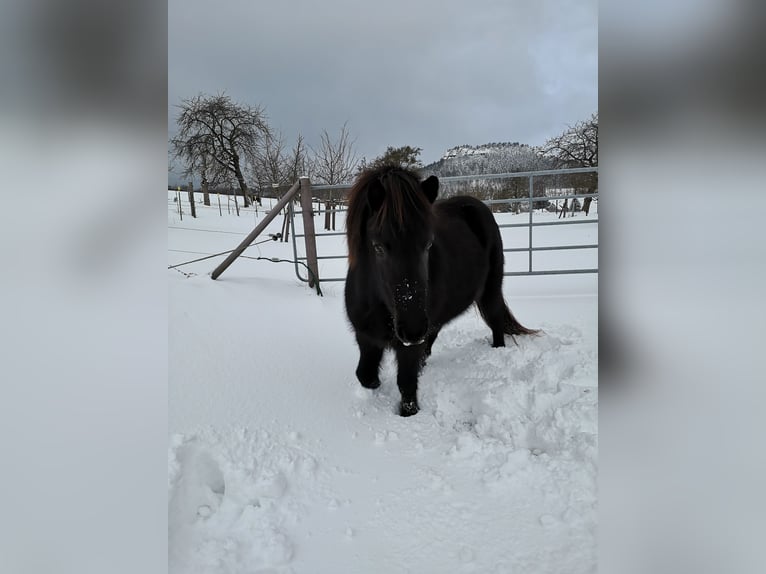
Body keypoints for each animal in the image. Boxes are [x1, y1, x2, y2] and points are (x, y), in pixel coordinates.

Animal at [344, 164, 536, 416]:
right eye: (378, 247)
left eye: (428, 244)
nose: (412, 329)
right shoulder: (366, 337)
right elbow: (365, 375)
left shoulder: (408, 348)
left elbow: (407, 388)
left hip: (489, 291)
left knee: (495, 323)